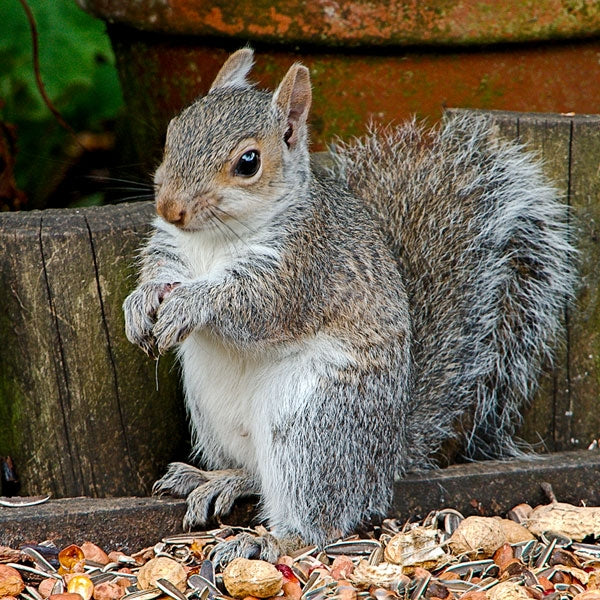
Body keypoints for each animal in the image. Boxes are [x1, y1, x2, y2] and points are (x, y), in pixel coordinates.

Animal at [122, 49, 576, 564]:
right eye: (173, 132)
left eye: (248, 162)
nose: (170, 208)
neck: (212, 241)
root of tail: (385, 459)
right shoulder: (171, 249)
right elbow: (157, 272)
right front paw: (139, 305)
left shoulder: (301, 269)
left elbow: (252, 305)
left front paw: (189, 305)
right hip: (210, 408)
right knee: (256, 473)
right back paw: (218, 478)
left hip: (314, 424)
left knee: (319, 520)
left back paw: (267, 541)